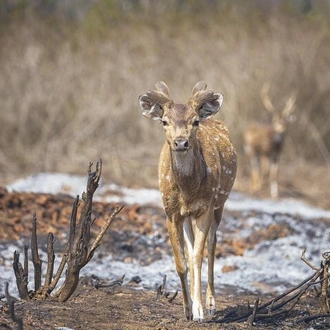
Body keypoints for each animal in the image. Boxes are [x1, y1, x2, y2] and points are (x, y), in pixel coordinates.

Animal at [138, 81, 236, 320]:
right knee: (192, 252)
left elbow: (199, 256)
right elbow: (182, 263)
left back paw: (210, 304)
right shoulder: (170, 212)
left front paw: (199, 311)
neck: (188, 191)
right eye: (164, 121)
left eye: (195, 121)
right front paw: (187, 309)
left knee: (212, 244)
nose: (180, 142)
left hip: (220, 203)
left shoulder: (206, 206)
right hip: (187, 216)